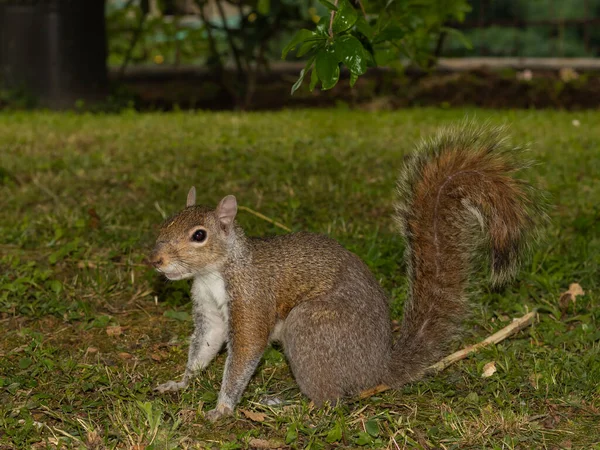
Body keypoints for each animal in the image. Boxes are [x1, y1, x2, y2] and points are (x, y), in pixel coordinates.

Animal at [149, 124, 540, 422]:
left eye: (199, 235)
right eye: (165, 222)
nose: (155, 259)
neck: (216, 271)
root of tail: (376, 369)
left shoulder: (251, 296)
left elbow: (244, 351)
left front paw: (223, 408)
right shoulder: (209, 309)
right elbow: (205, 345)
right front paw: (180, 384)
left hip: (309, 327)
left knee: (331, 400)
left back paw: (293, 407)